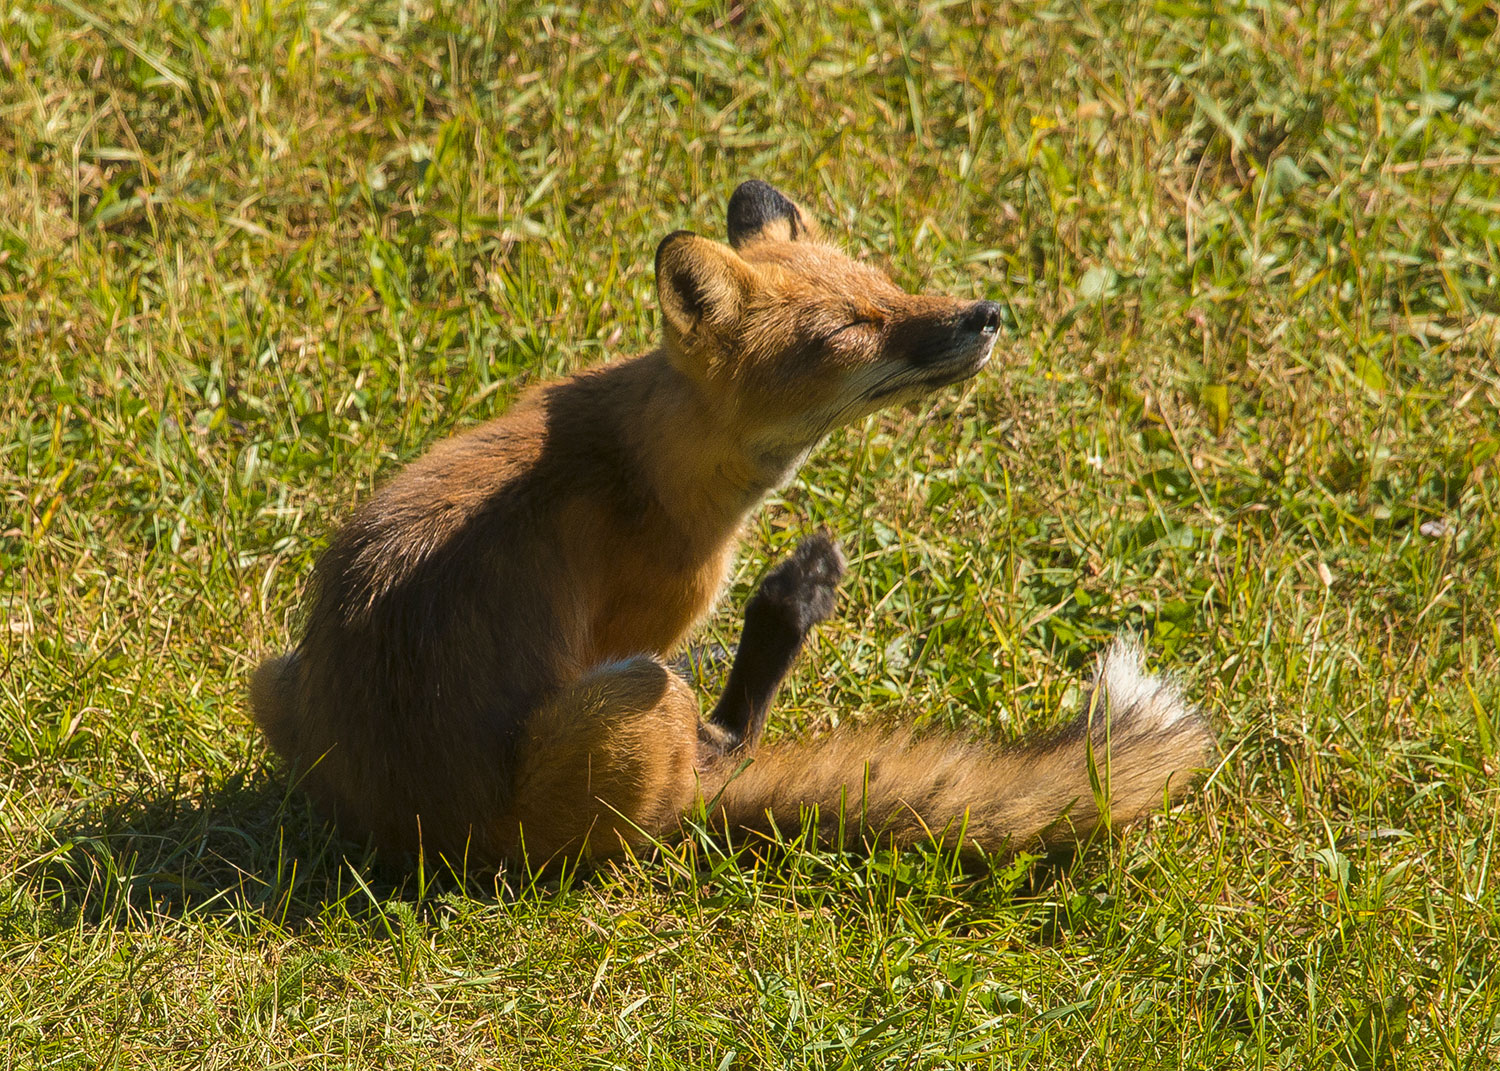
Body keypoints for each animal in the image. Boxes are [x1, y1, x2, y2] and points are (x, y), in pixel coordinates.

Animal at [246, 181, 1206, 870]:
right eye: (851, 329)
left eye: (888, 287)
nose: (987, 315)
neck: (645, 467)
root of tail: (424, 837)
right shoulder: (639, 625)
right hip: (632, 703)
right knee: (709, 758)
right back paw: (779, 619)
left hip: (272, 673)